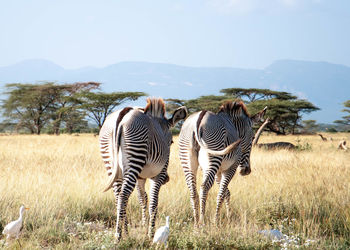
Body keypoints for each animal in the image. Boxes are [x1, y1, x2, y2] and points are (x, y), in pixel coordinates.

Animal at [98, 97, 187, 240]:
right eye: (172, 142)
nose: (167, 179)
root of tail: (123, 114)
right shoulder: (159, 173)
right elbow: (153, 202)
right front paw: (151, 234)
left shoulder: (140, 177)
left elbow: (142, 198)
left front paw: (145, 227)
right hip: (136, 152)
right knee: (123, 194)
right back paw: (118, 237)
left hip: (111, 162)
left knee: (118, 196)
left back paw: (125, 233)